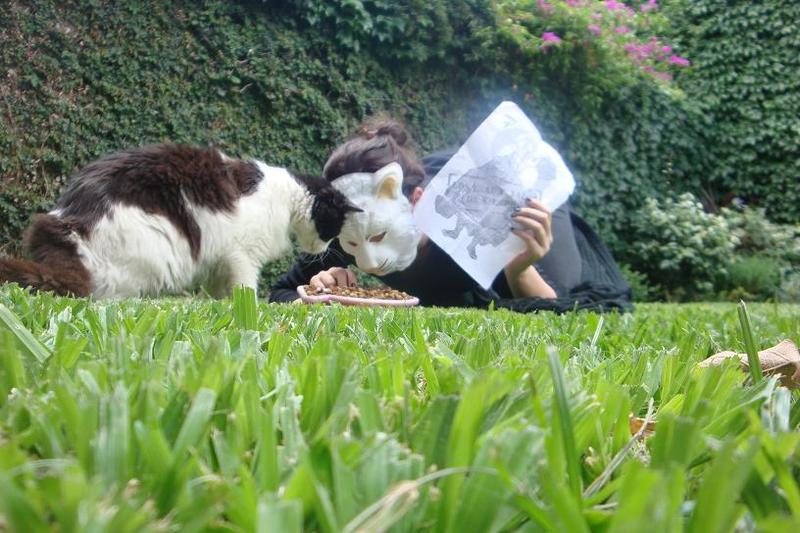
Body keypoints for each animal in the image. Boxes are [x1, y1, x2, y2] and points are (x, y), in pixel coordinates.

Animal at [0, 143, 358, 298]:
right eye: (332, 229)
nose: (324, 250)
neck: (288, 197)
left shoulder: (219, 262)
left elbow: (219, 294)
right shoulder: (242, 255)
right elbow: (245, 290)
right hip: (155, 249)